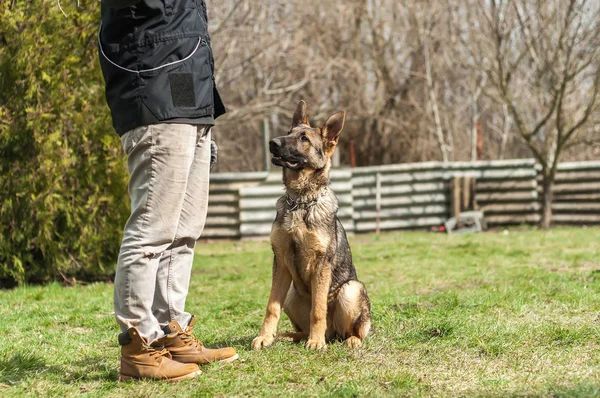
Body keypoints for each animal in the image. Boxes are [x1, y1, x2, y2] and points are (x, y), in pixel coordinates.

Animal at [250, 101, 370, 350]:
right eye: (288, 132)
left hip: (351, 289)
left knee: (355, 330)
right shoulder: (280, 261)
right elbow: (271, 307)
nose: (272, 143)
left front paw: (316, 342)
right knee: (300, 329)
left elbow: (318, 308)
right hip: (290, 294)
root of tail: (333, 333)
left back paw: (344, 339)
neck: (301, 202)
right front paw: (265, 336)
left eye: (304, 138)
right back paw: (287, 336)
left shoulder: (321, 263)